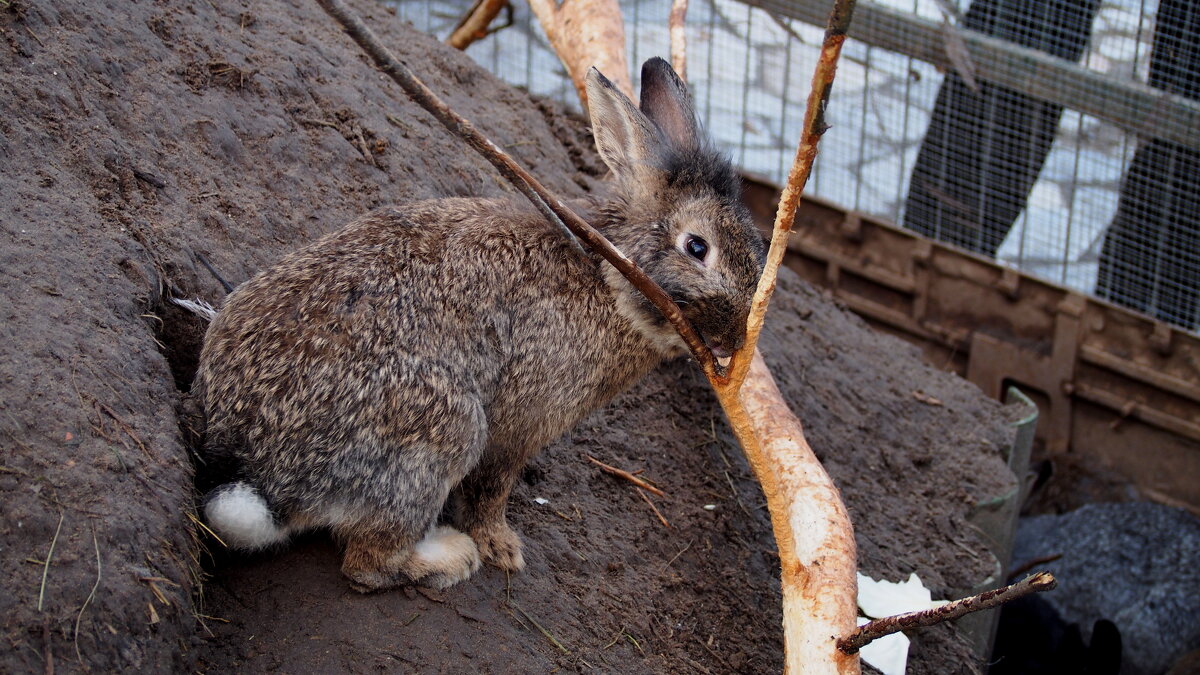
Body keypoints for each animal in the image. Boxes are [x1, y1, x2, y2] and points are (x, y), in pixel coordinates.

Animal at [193, 57, 763, 588]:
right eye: (697, 248)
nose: (735, 339)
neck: (608, 276)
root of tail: (262, 470)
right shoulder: (519, 424)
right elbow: (492, 488)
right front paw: (501, 547)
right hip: (442, 436)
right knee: (367, 564)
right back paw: (452, 556)